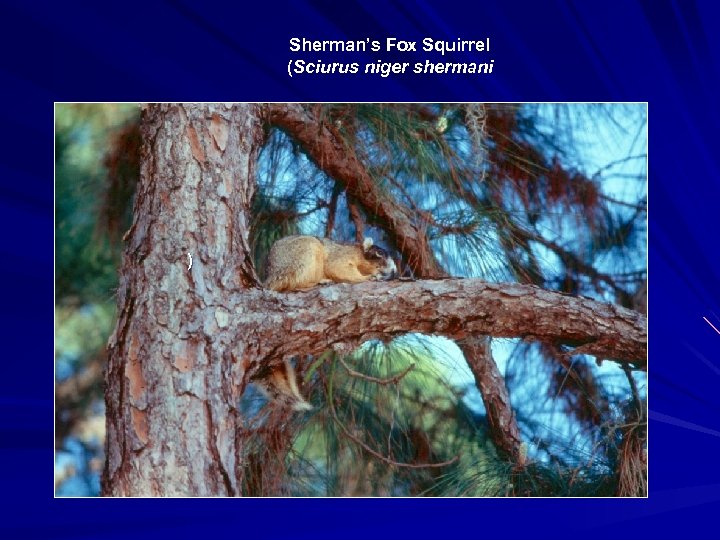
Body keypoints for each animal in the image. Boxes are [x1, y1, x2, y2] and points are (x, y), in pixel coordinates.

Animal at [264, 235, 397, 292]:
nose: (395, 271)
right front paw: (369, 277)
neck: (358, 252)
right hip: (306, 251)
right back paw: (321, 281)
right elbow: (337, 267)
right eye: (379, 253)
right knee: (296, 282)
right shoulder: (342, 255)